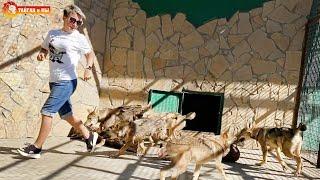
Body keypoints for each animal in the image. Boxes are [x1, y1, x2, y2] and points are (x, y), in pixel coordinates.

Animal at [17, 4, 97, 159]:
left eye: (79, 21)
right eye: (73, 19)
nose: (77, 24)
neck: (66, 31)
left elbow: (89, 54)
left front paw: (34, 149)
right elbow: (44, 48)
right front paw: (41, 55)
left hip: (63, 88)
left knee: (65, 114)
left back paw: (91, 138)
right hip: (59, 92)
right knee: (68, 115)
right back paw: (90, 138)